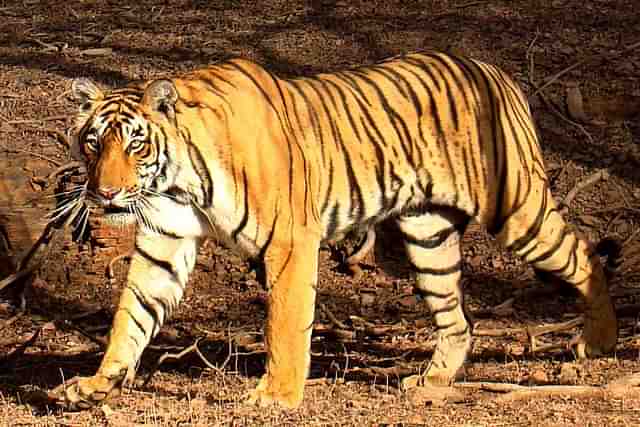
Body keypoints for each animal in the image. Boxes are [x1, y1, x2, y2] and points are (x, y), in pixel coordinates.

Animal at [52, 50, 616, 412]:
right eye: (94, 142)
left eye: (135, 144)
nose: (104, 193)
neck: (176, 183)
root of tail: (494, 70)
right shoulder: (163, 245)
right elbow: (131, 317)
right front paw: (96, 384)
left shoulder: (289, 242)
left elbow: (284, 323)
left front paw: (276, 397)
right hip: (428, 235)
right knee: (458, 320)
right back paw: (432, 380)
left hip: (515, 209)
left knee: (584, 255)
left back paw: (600, 342)